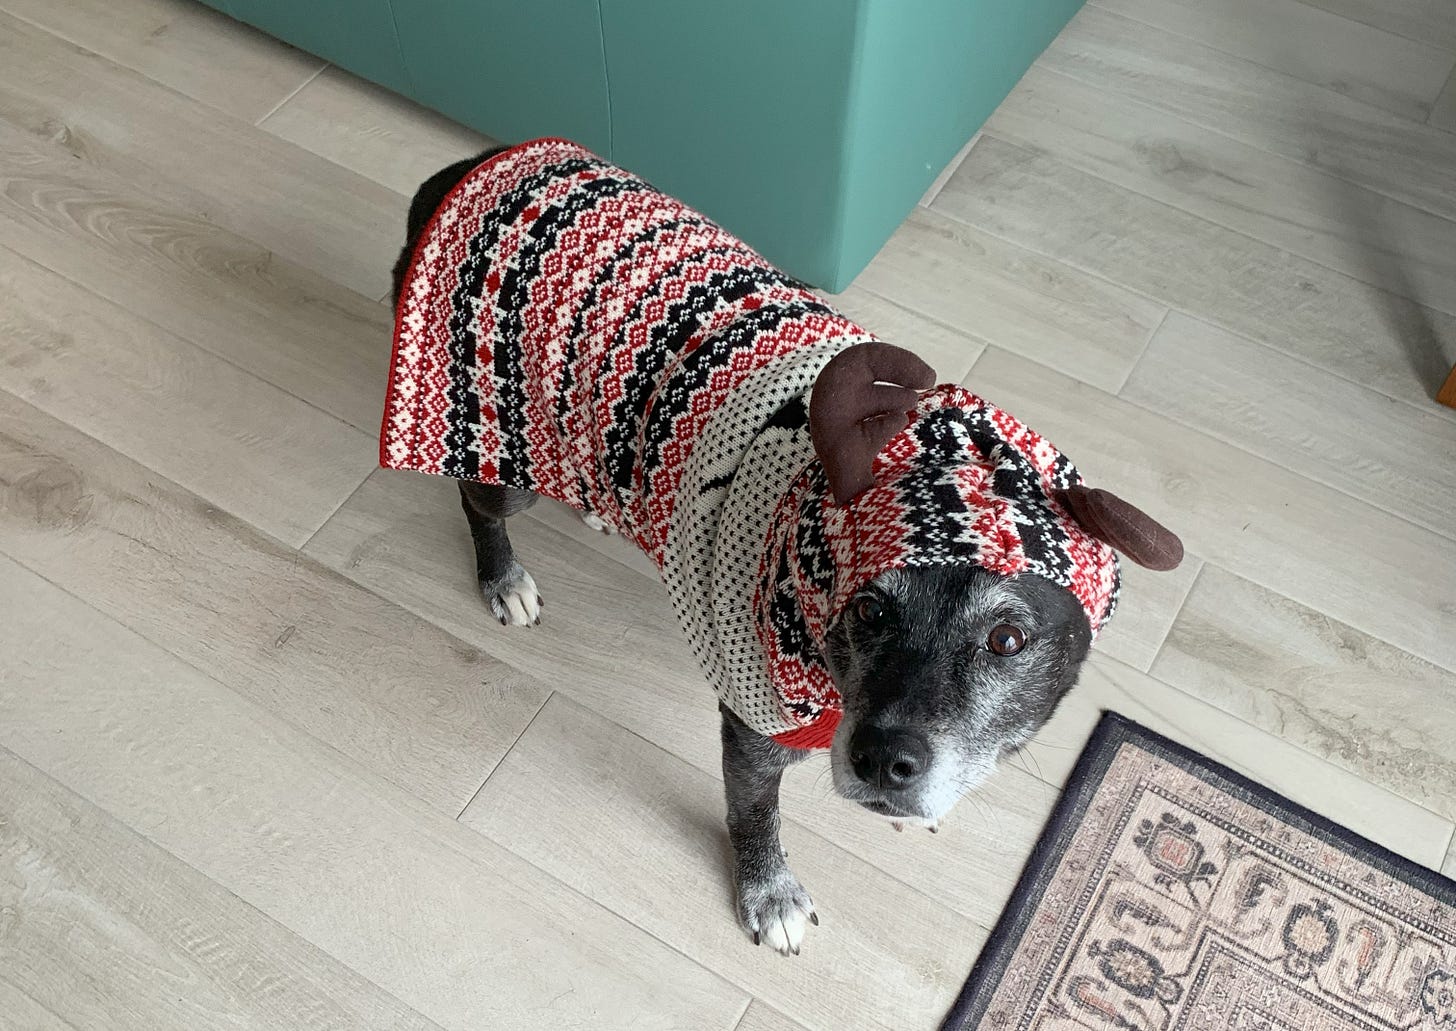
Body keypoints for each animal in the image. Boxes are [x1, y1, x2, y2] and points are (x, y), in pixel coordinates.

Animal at [384, 139, 1182, 961]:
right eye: (867, 610)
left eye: (1008, 639)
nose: (884, 761)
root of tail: (462, 171)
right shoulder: (755, 728)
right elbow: (754, 815)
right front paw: (769, 893)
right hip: (500, 459)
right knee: (477, 500)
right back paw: (502, 576)